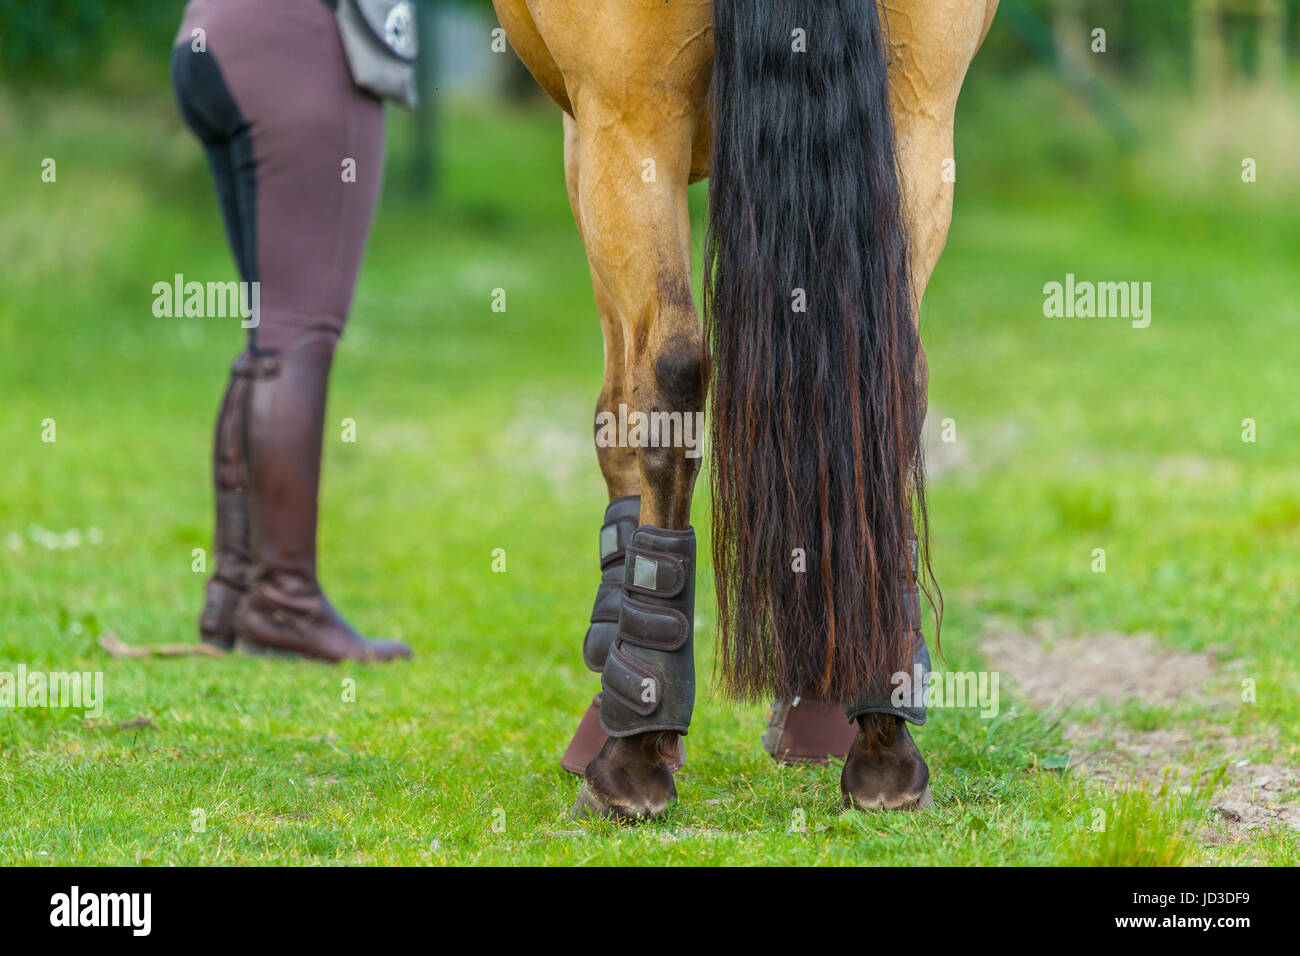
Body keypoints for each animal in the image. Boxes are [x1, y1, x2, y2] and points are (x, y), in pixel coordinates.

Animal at [491, 1, 998, 822]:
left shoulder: (584, 136)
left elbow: (619, 414)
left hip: (631, 122)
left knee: (670, 372)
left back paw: (631, 757)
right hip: (924, 112)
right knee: (888, 373)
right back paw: (883, 739)